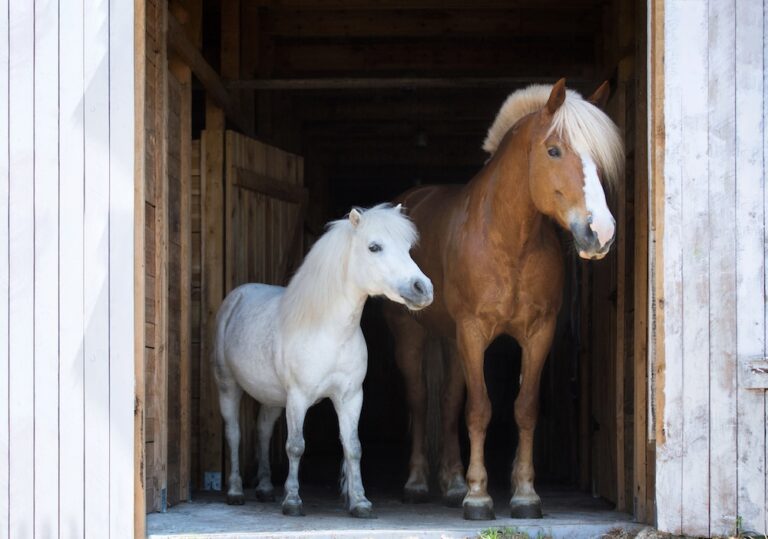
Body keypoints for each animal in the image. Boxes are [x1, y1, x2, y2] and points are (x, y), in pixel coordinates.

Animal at [214, 204, 434, 518]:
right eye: (374, 247)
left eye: (407, 248)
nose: (422, 288)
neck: (329, 331)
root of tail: (236, 296)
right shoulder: (298, 397)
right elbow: (295, 446)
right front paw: (293, 501)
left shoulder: (351, 397)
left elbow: (353, 447)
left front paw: (360, 502)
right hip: (228, 386)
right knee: (234, 434)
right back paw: (234, 491)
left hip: (272, 397)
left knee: (263, 431)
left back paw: (266, 489)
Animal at [383, 79, 623, 520]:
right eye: (553, 150)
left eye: (598, 158)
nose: (600, 232)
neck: (510, 240)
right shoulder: (473, 332)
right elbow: (480, 410)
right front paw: (479, 497)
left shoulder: (538, 333)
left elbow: (523, 409)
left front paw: (524, 494)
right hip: (412, 336)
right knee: (421, 401)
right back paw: (418, 483)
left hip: (450, 340)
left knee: (448, 401)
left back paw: (453, 483)